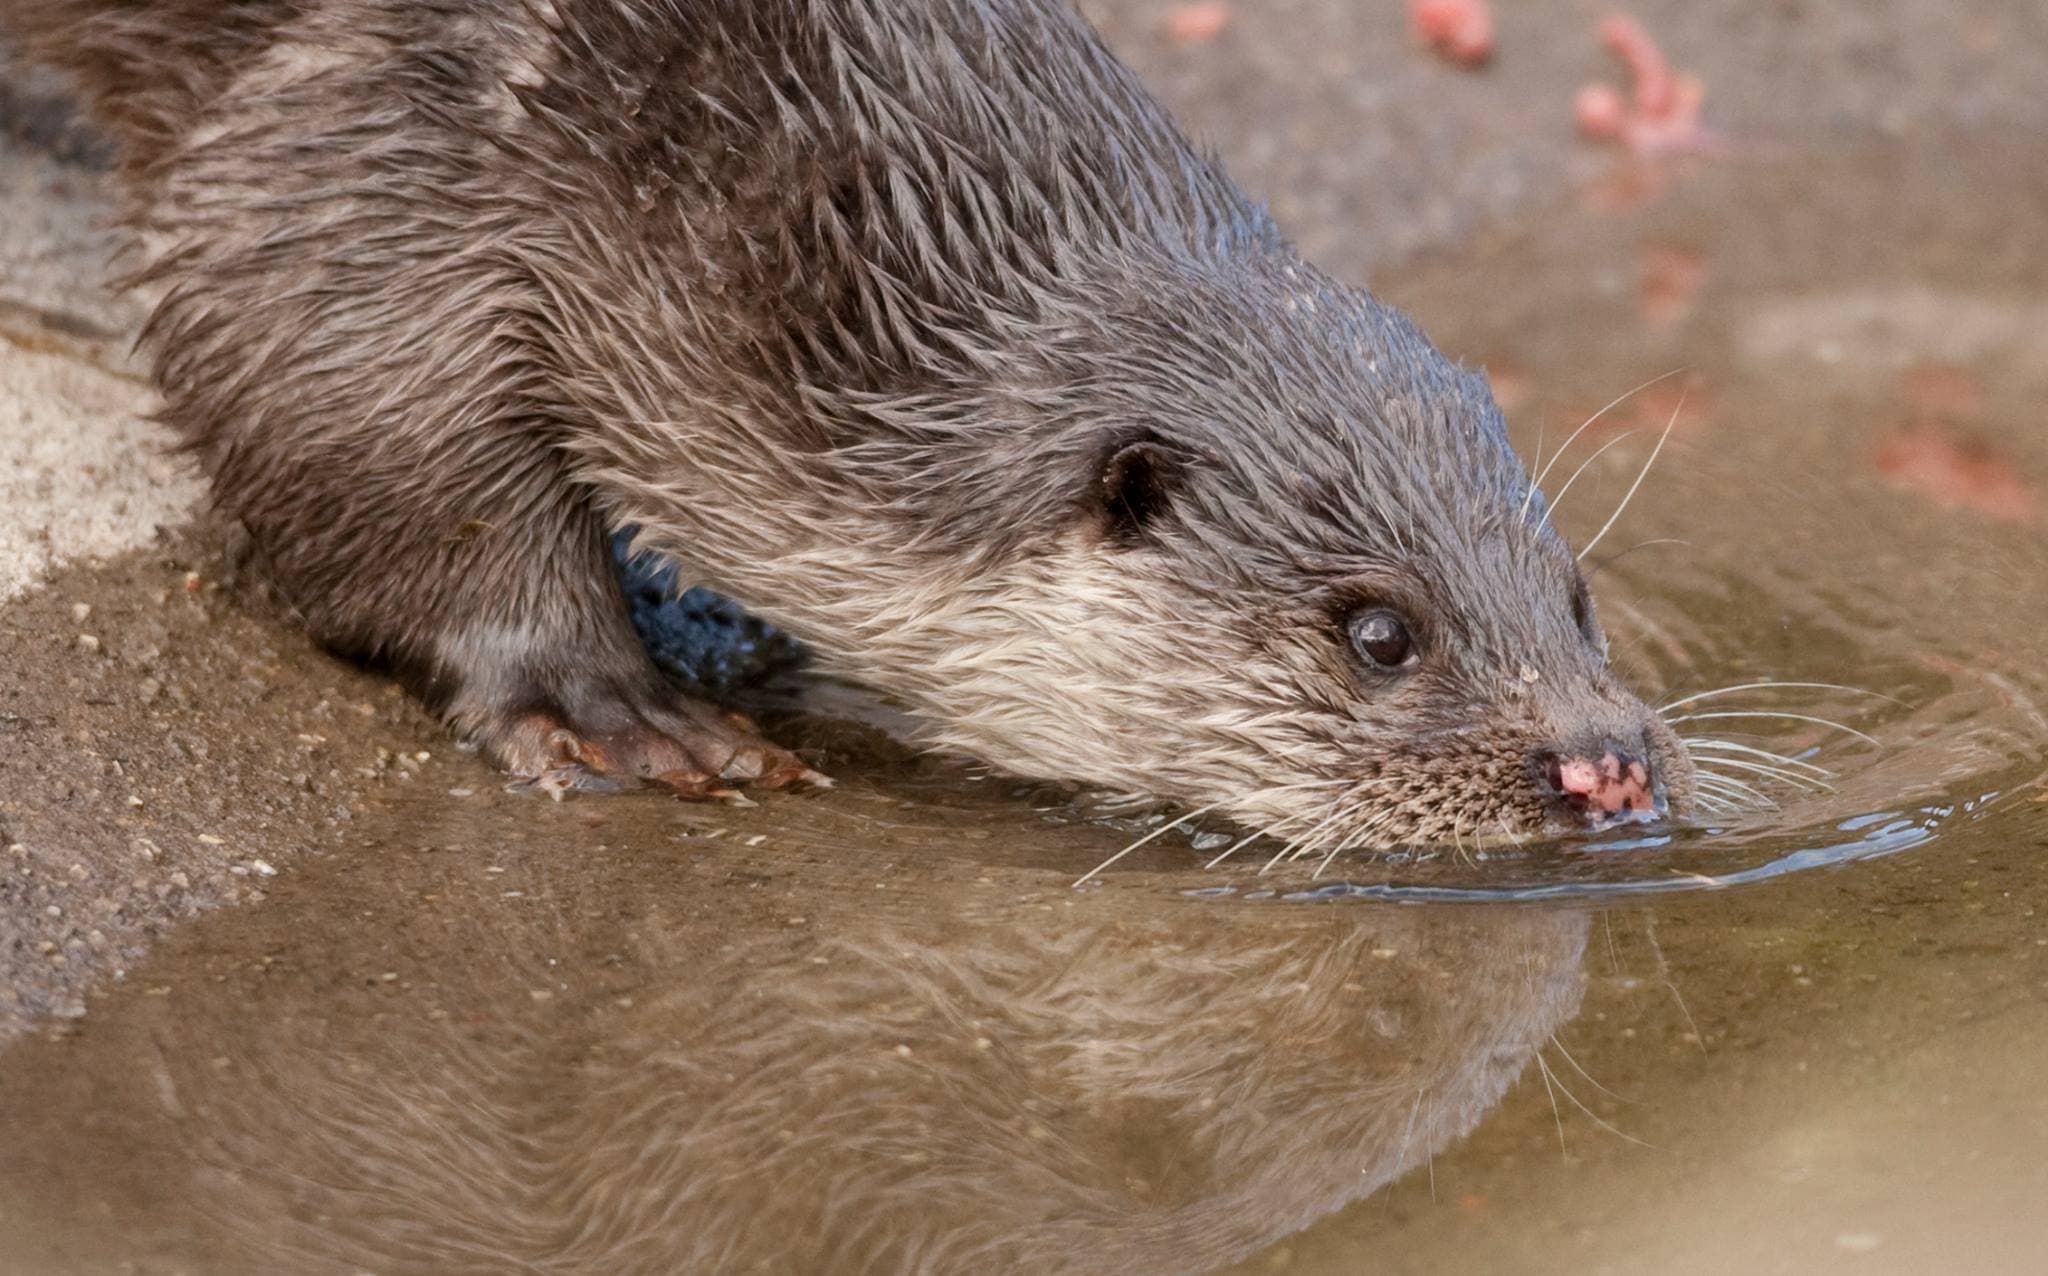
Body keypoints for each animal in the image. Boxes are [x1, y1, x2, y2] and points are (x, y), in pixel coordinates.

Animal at [9, 0, 1693, 848]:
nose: (1605, 764)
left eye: (1576, 600)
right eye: (1381, 633)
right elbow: (357, 404)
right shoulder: (377, 139)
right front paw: (603, 702)